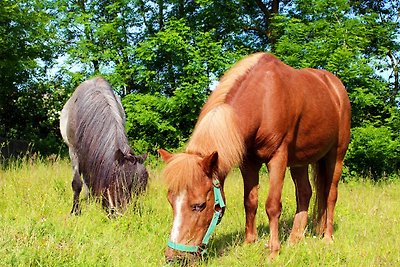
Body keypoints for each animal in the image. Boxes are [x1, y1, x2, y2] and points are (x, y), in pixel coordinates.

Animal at [159, 52, 350, 262]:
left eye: (199, 205)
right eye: (170, 201)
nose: (174, 257)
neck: (263, 99)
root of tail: (335, 87)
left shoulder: (278, 158)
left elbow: (272, 206)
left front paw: (273, 251)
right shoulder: (249, 163)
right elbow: (250, 202)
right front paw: (249, 242)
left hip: (336, 156)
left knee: (330, 195)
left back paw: (327, 238)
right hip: (299, 161)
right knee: (305, 193)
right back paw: (294, 239)